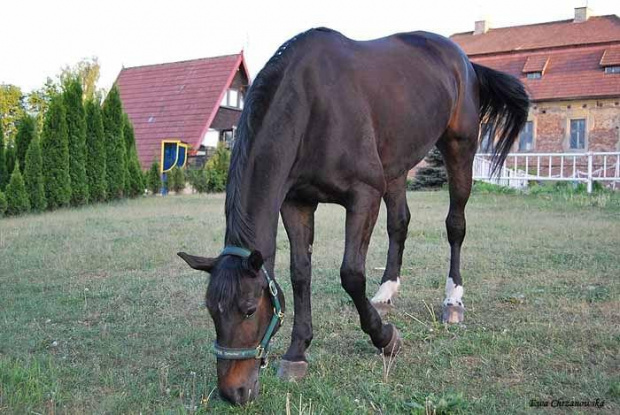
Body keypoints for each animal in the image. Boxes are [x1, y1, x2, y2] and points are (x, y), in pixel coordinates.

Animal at [178, 28, 528, 406]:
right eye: (212, 310)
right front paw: (297, 352)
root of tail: (462, 59)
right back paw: (386, 293)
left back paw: (453, 300)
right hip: (396, 167)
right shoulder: (297, 203)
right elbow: (300, 273)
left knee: (455, 226)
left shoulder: (363, 197)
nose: (233, 392)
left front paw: (386, 338)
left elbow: (351, 274)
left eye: (248, 309)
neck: (311, 104)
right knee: (399, 224)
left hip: (459, 148)